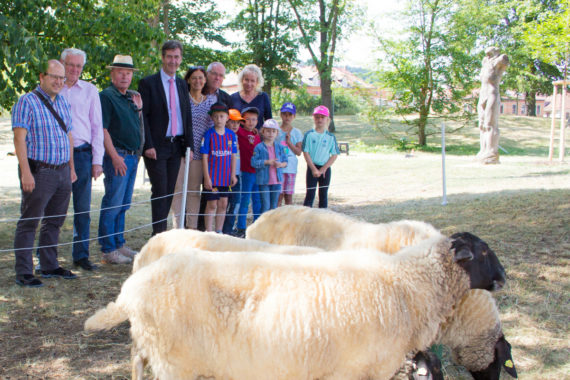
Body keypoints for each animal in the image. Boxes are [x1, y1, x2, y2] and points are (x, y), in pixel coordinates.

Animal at [85, 232, 506, 380]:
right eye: (484, 252)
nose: (503, 278)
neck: (408, 284)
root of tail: (131, 288)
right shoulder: (355, 371)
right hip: (175, 363)